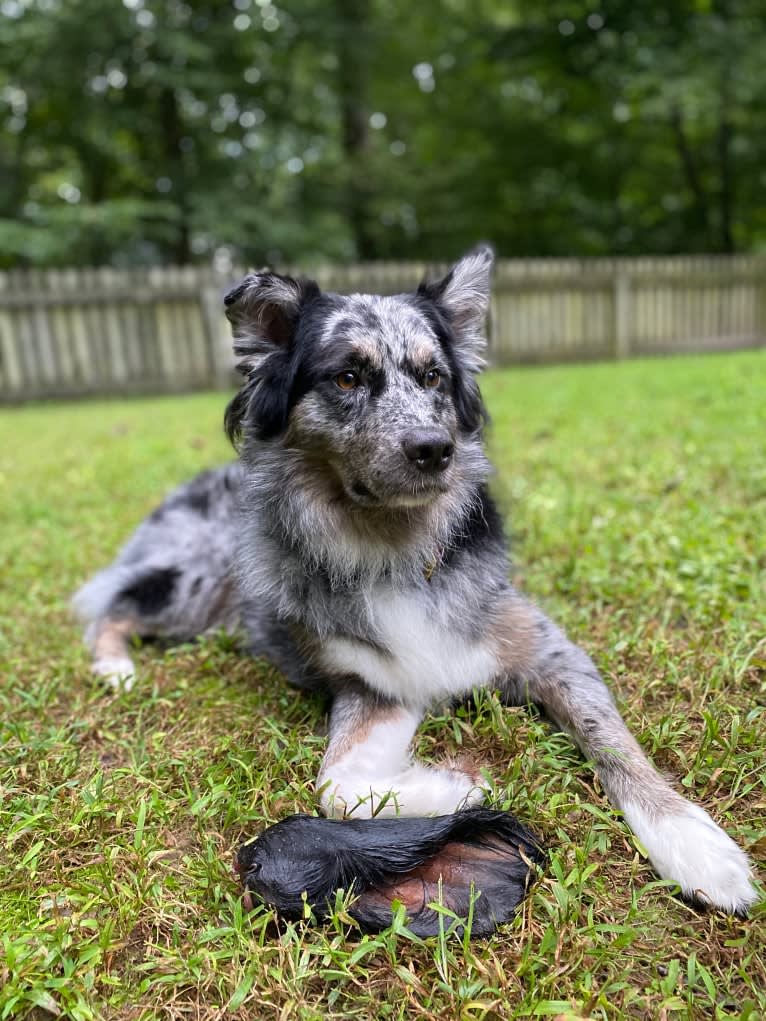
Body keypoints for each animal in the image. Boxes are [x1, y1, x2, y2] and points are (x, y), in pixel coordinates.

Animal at [75, 249, 759, 918]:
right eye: (347, 378)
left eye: (433, 378)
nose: (435, 449)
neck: (396, 548)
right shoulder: (375, 684)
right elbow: (336, 786)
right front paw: (458, 788)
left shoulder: (550, 656)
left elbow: (616, 746)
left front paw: (694, 846)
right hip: (193, 583)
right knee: (112, 606)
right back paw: (115, 667)